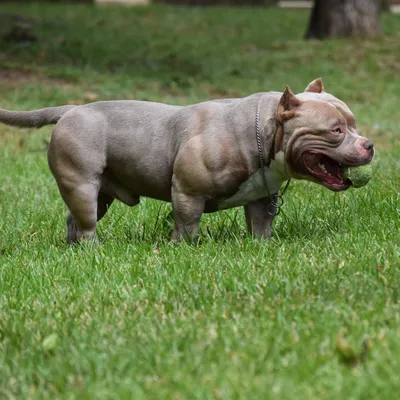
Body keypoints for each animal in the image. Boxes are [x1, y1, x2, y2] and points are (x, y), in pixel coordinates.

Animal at [0, 76, 376, 242]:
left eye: (354, 124)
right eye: (336, 130)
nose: (369, 144)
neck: (261, 132)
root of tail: (71, 110)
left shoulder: (260, 199)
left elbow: (260, 226)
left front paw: (262, 245)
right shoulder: (188, 193)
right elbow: (187, 225)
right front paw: (186, 248)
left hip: (100, 194)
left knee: (75, 220)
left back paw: (74, 247)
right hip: (82, 185)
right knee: (87, 221)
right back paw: (93, 248)